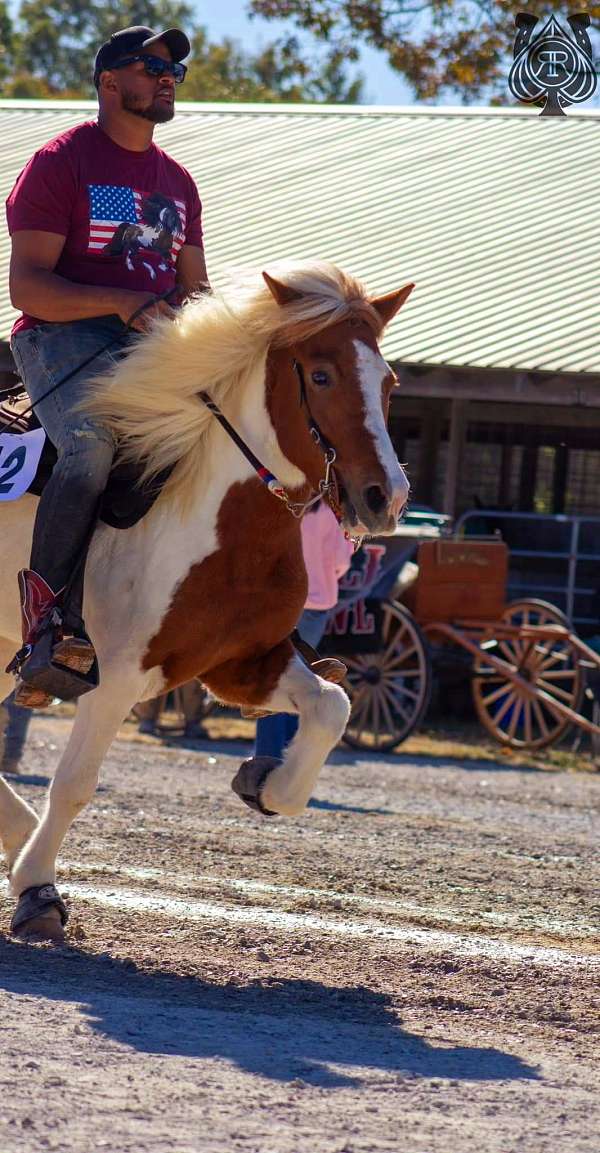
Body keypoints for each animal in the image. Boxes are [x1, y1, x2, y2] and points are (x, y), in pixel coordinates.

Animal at [0, 261, 413, 936]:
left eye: (389, 382)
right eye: (321, 375)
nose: (385, 497)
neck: (220, 519)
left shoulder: (242, 663)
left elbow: (331, 706)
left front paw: (266, 782)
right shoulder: (115, 678)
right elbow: (75, 784)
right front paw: (37, 889)